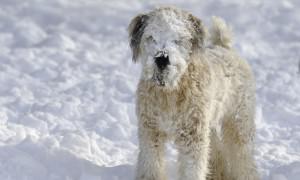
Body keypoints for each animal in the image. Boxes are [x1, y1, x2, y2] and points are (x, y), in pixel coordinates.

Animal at [127, 6, 258, 180]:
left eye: (178, 39)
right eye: (151, 37)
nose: (162, 58)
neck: (170, 92)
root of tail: (225, 47)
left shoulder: (192, 137)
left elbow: (192, 169)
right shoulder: (150, 132)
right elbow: (151, 166)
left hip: (238, 122)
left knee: (243, 158)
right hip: (210, 124)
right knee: (216, 149)